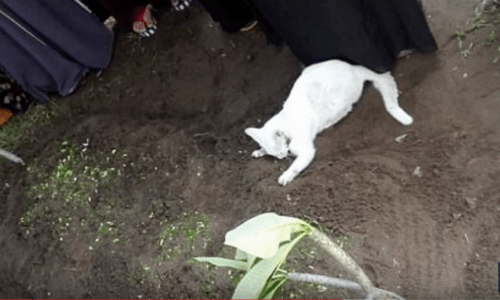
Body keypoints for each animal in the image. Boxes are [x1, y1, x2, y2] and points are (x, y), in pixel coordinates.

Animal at [244, 58, 412, 185]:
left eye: (279, 152)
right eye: (273, 153)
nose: (279, 157)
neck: (287, 124)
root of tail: (353, 68)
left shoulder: (307, 151)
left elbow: (295, 167)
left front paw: (285, 176)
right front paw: (259, 151)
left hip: (343, 98)